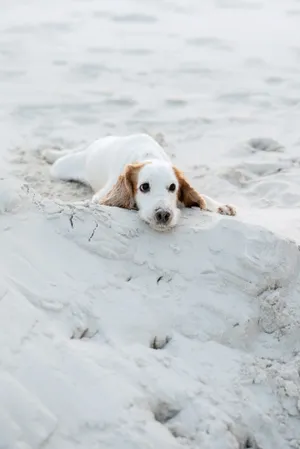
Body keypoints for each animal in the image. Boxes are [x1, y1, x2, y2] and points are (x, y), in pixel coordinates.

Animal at [43, 132, 236, 231]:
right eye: (144, 187)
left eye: (173, 187)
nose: (164, 215)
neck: (148, 156)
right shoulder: (101, 196)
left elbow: (202, 197)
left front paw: (221, 207)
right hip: (62, 167)